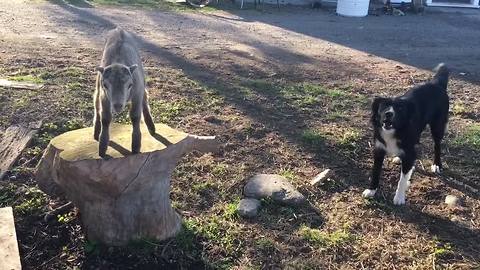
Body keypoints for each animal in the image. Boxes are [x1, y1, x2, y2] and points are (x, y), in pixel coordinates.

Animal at [93, 26, 155, 158]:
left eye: (130, 85)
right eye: (106, 85)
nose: (117, 105)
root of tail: (119, 29)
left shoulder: (137, 92)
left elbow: (135, 116)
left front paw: (136, 146)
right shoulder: (104, 96)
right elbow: (105, 118)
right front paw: (102, 147)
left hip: (141, 79)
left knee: (145, 99)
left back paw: (151, 126)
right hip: (98, 84)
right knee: (96, 103)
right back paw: (96, 131)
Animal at [364, 64, 450, 206]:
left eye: (399, 109)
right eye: (384, 106)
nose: (389, 114)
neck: (395, 131)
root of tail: (436, 83)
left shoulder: (408, 152)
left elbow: (402, 179)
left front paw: (399, 197)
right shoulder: (379, 149)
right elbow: (376, 171)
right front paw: (371, 190)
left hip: (437, 126)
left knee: (437, 145)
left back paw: (437, 164)